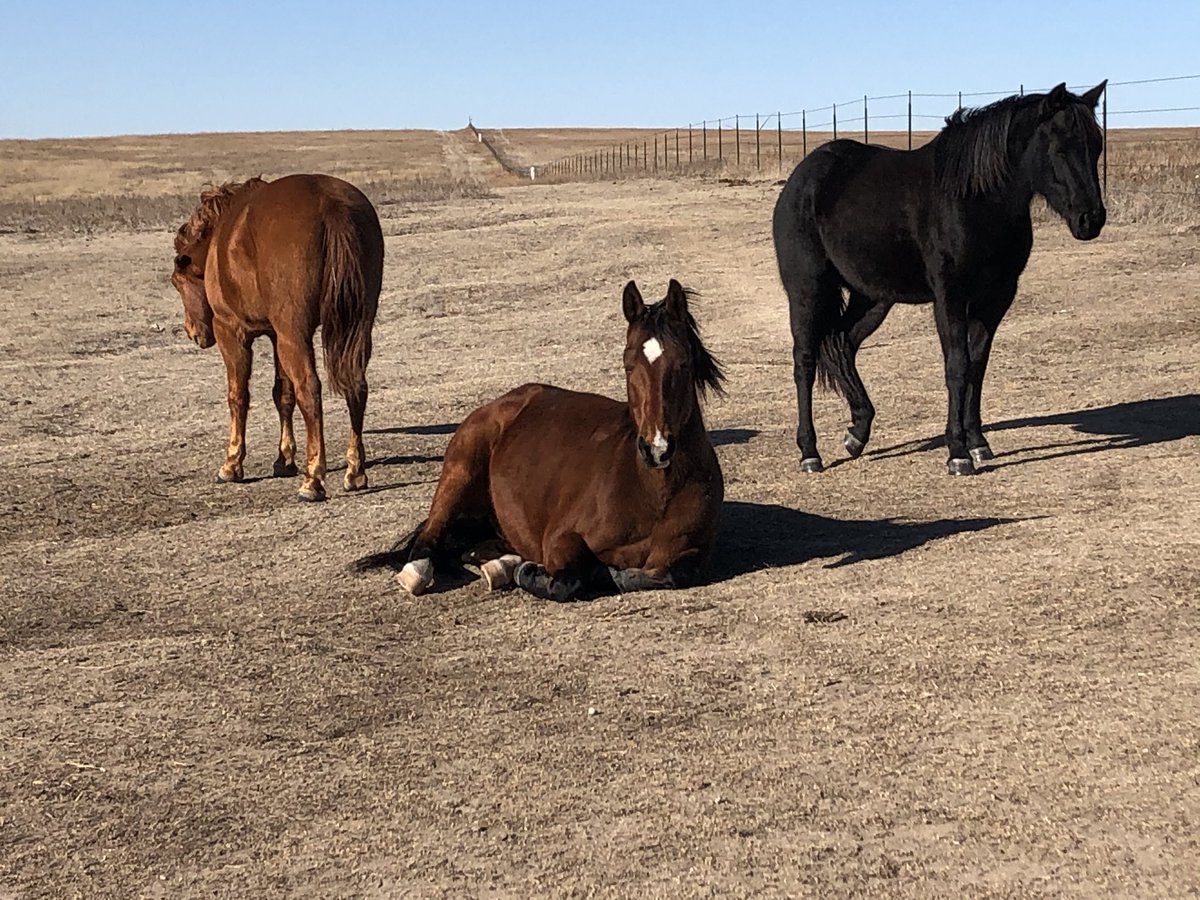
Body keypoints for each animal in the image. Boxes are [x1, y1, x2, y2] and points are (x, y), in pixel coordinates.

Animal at [169, 172, 381, 504]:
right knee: (356, 387)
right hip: (356, 328)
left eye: (177, 282)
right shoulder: (274, 334)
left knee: (310, 390)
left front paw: (232, 464)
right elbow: (283, 393)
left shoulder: (233, 332)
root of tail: (330, 204)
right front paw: (285, 459)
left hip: (294, 334)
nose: (193, 332)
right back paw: (355, 471)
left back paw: (313, 479)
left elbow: (238, 396)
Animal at [355, 280, 724, 607]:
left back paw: (502, 565)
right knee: (427, 541)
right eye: (628, 365)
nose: (656, 448)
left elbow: (666, 574)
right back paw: (421, 571)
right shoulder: (562, 538)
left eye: (683, 363)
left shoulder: (691, 554)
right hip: (460, 470)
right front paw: (532, 573)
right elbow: (568, 579)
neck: (652, 492)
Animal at [777, 82, 1104, 480]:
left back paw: (858, 431)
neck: (976, 199)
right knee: (805, 360)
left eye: (1097, 146)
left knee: (843, 343)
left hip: (872, 297)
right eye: (1061, 149)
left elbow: (978, 365)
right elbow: (957, 366)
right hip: (807, 290)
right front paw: (958, 453)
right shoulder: (950, 297)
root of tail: (802, 177)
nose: (1091, 220)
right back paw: (810, 452)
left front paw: (977, 442)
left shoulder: (996, 297)